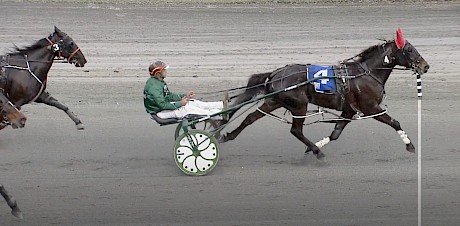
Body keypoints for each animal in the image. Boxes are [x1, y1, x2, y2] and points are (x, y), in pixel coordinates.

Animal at [219, 28, 428, 159]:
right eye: (409, 49)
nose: (425, 66)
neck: (366, 74)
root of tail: (275, 73)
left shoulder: (349, 110)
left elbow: (335, 133)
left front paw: (316, 146)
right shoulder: (370, 108)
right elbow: (394, 122)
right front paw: (409, 144)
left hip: (274, 102)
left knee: (250, 118)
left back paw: (227, 136)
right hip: (299, 105)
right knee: (295, 130)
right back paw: (317, 153)